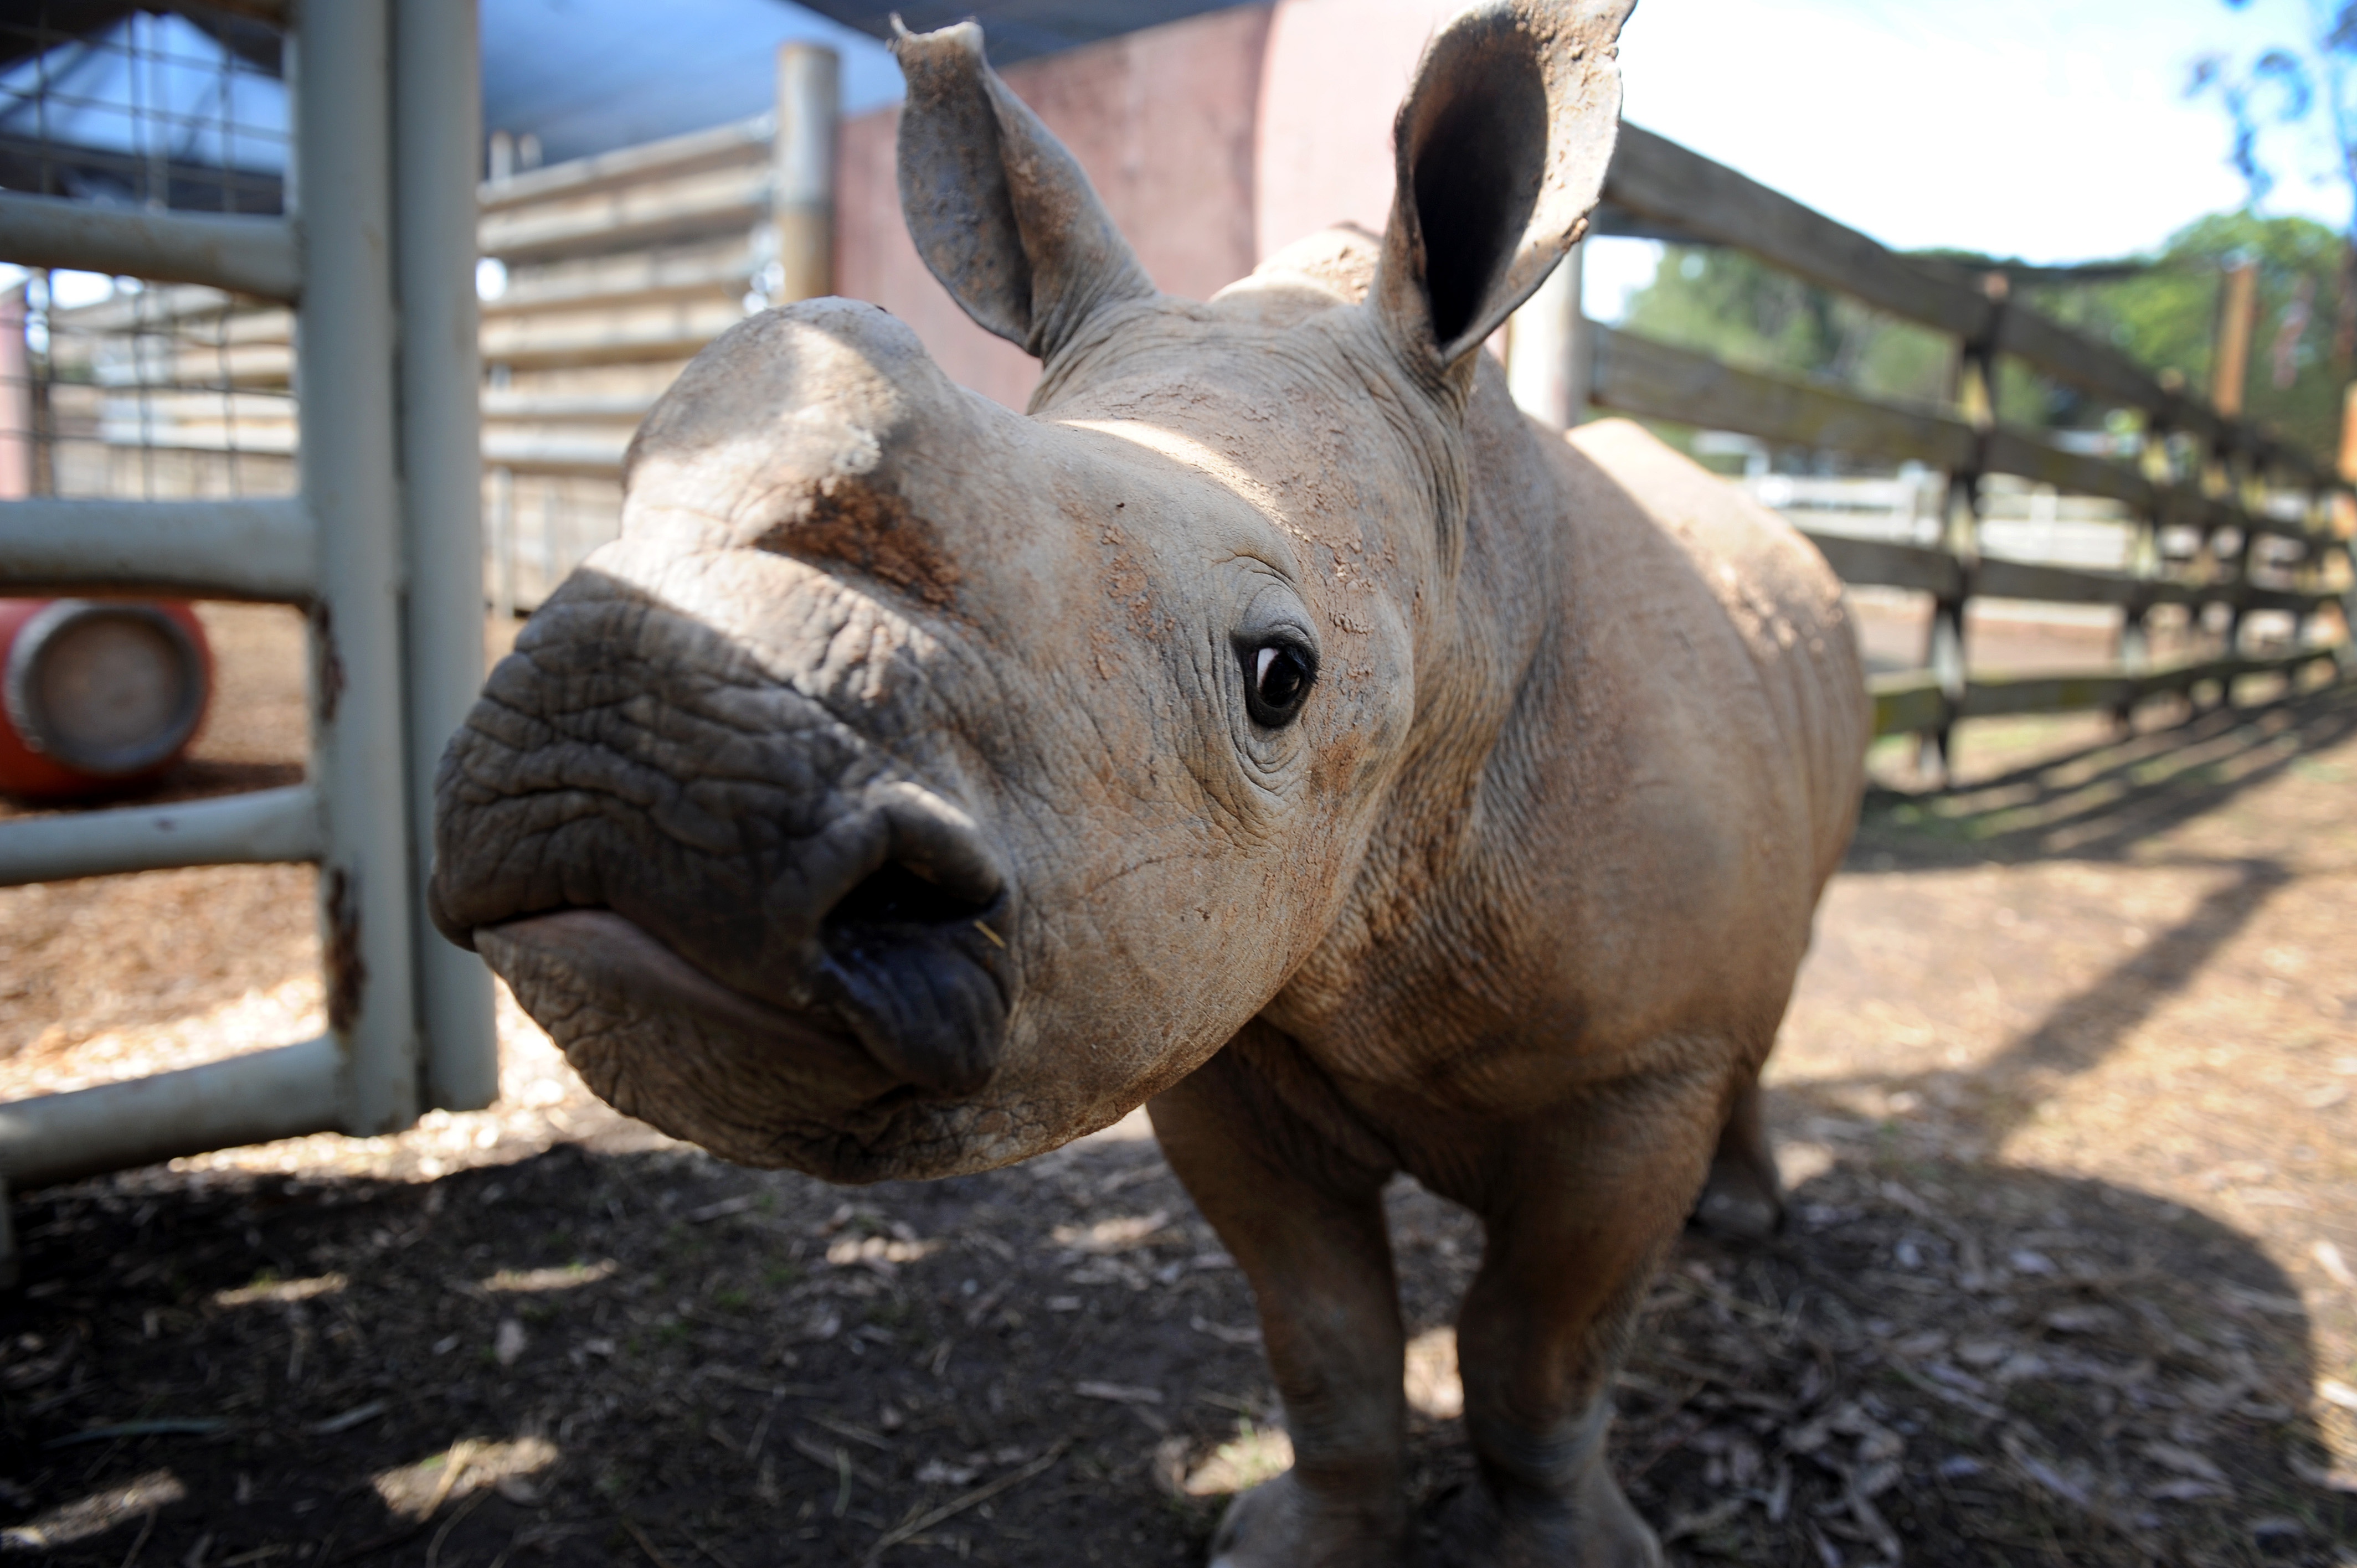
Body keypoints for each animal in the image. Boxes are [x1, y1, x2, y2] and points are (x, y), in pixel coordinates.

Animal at [428, 1, 1869, 1560]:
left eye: (1281, 678)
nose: (630, 737)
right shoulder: (1219, 1026)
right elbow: (1327, 1336)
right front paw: (1303, 1541)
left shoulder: (1634, 1073)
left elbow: (1535, 1355)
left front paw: (1566, 1547)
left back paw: (1744, 1222)